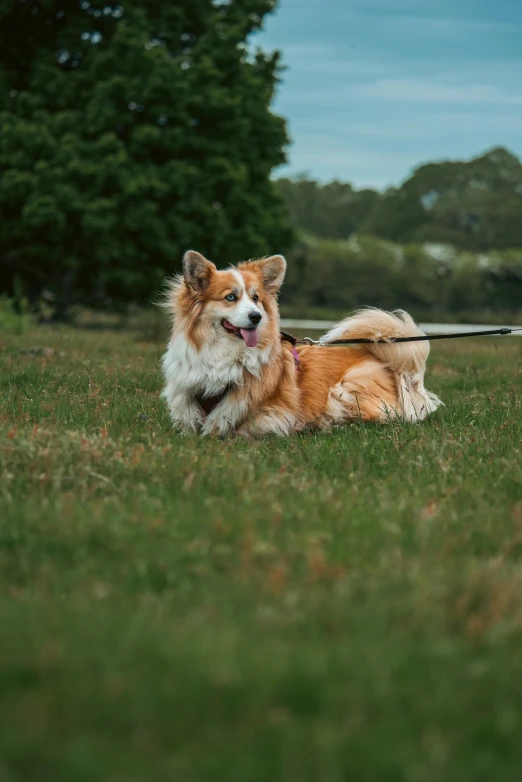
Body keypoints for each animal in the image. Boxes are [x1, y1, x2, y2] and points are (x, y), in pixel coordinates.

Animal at [160, 251, 440, 434]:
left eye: (256, 298)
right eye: (231, 297)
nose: (256, 317)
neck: (223, 354)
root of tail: (396, 370)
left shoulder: (273, 414)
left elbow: (235, 426)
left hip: (346, 388)